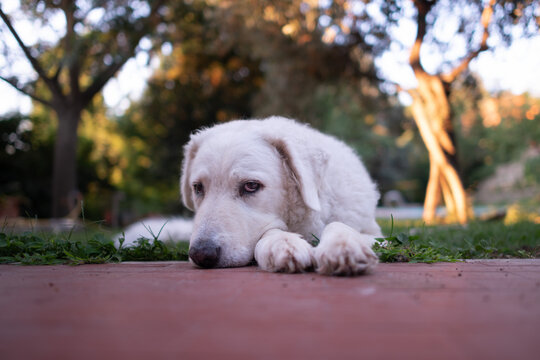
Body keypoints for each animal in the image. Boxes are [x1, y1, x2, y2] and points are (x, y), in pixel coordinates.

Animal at [180, 116, 380, 274]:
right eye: (198, 188)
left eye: (251, 186)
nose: (200, 254)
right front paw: (283, 242)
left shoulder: (376, 235)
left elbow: (339, 225)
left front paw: (343, 244)